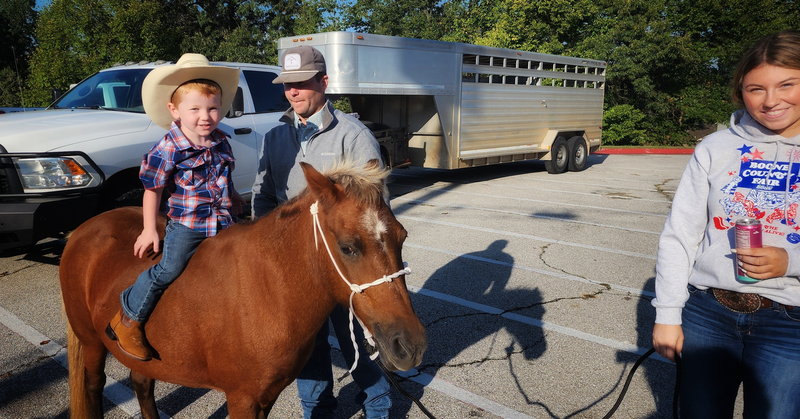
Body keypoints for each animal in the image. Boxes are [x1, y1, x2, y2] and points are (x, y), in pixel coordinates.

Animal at [59, 161, 428, 418]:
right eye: (348, 247)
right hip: (92, 344)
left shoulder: (266, 397)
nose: (411, 345)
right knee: (94, 386)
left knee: (142, 382)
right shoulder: (242, 400)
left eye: (403, 236)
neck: (269, 288)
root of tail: (82, 230)